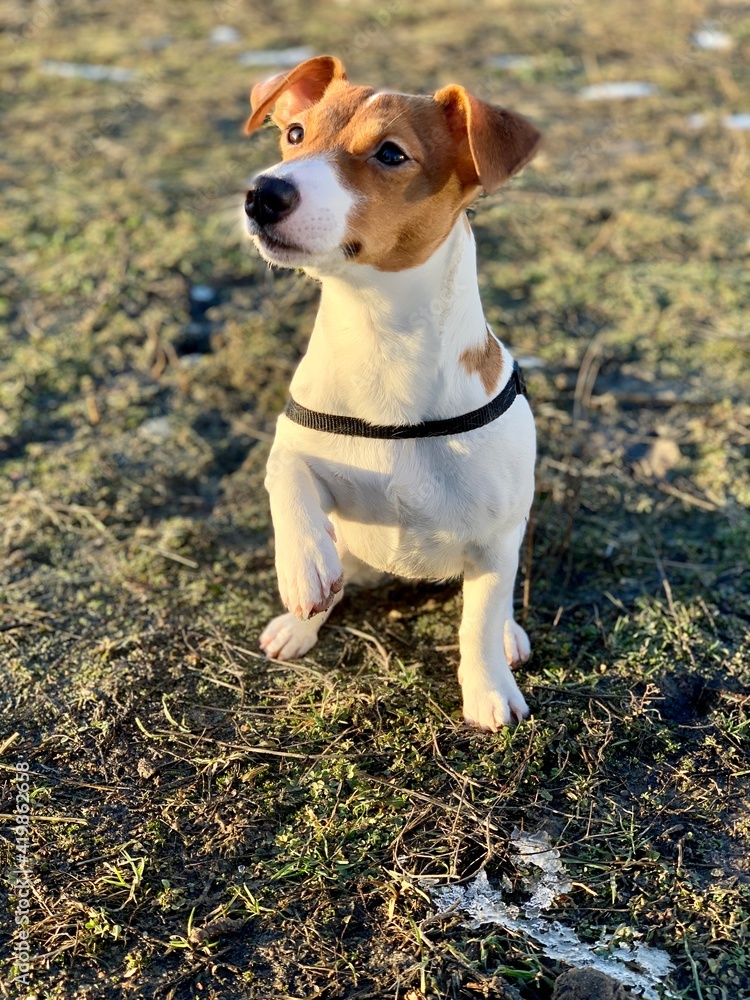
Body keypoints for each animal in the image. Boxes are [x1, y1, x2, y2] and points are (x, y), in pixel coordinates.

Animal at [244, 56, 544, 728]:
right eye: (295, 134)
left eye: (390, 153)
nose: (263, 193)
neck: (379, 336)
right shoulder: (293, 441)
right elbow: (287, 473)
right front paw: (302, 567)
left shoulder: (495, 540)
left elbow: (478, 621)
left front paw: (487, 690)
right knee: (338, 576)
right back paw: (301, 620)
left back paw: (509, 636)